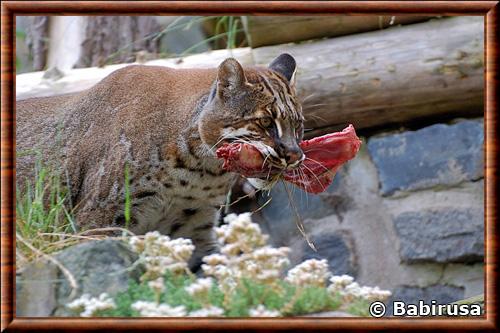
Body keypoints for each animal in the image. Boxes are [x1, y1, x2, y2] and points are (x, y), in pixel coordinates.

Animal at [16, 53, 304, 268]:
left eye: (298, 125)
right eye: (265, 122)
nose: (294, 155)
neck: (199, 169)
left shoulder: (193, 228)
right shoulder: (97, 221)